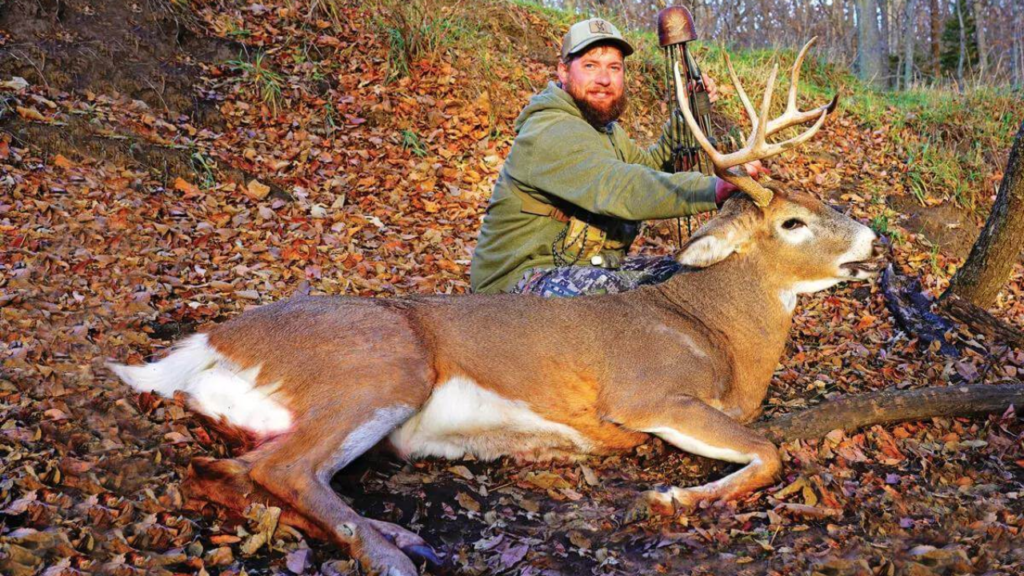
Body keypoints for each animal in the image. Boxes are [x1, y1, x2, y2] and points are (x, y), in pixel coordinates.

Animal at [109, 40, 885, 576]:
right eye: (792, 222)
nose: (876, 240)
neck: (717, 336)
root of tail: (201, 347)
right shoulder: (647, 395)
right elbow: (769, 452)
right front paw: (669, 499)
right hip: (380, 367)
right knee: (284, 471)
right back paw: (396, 557)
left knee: (224, 473)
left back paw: (408, 539)